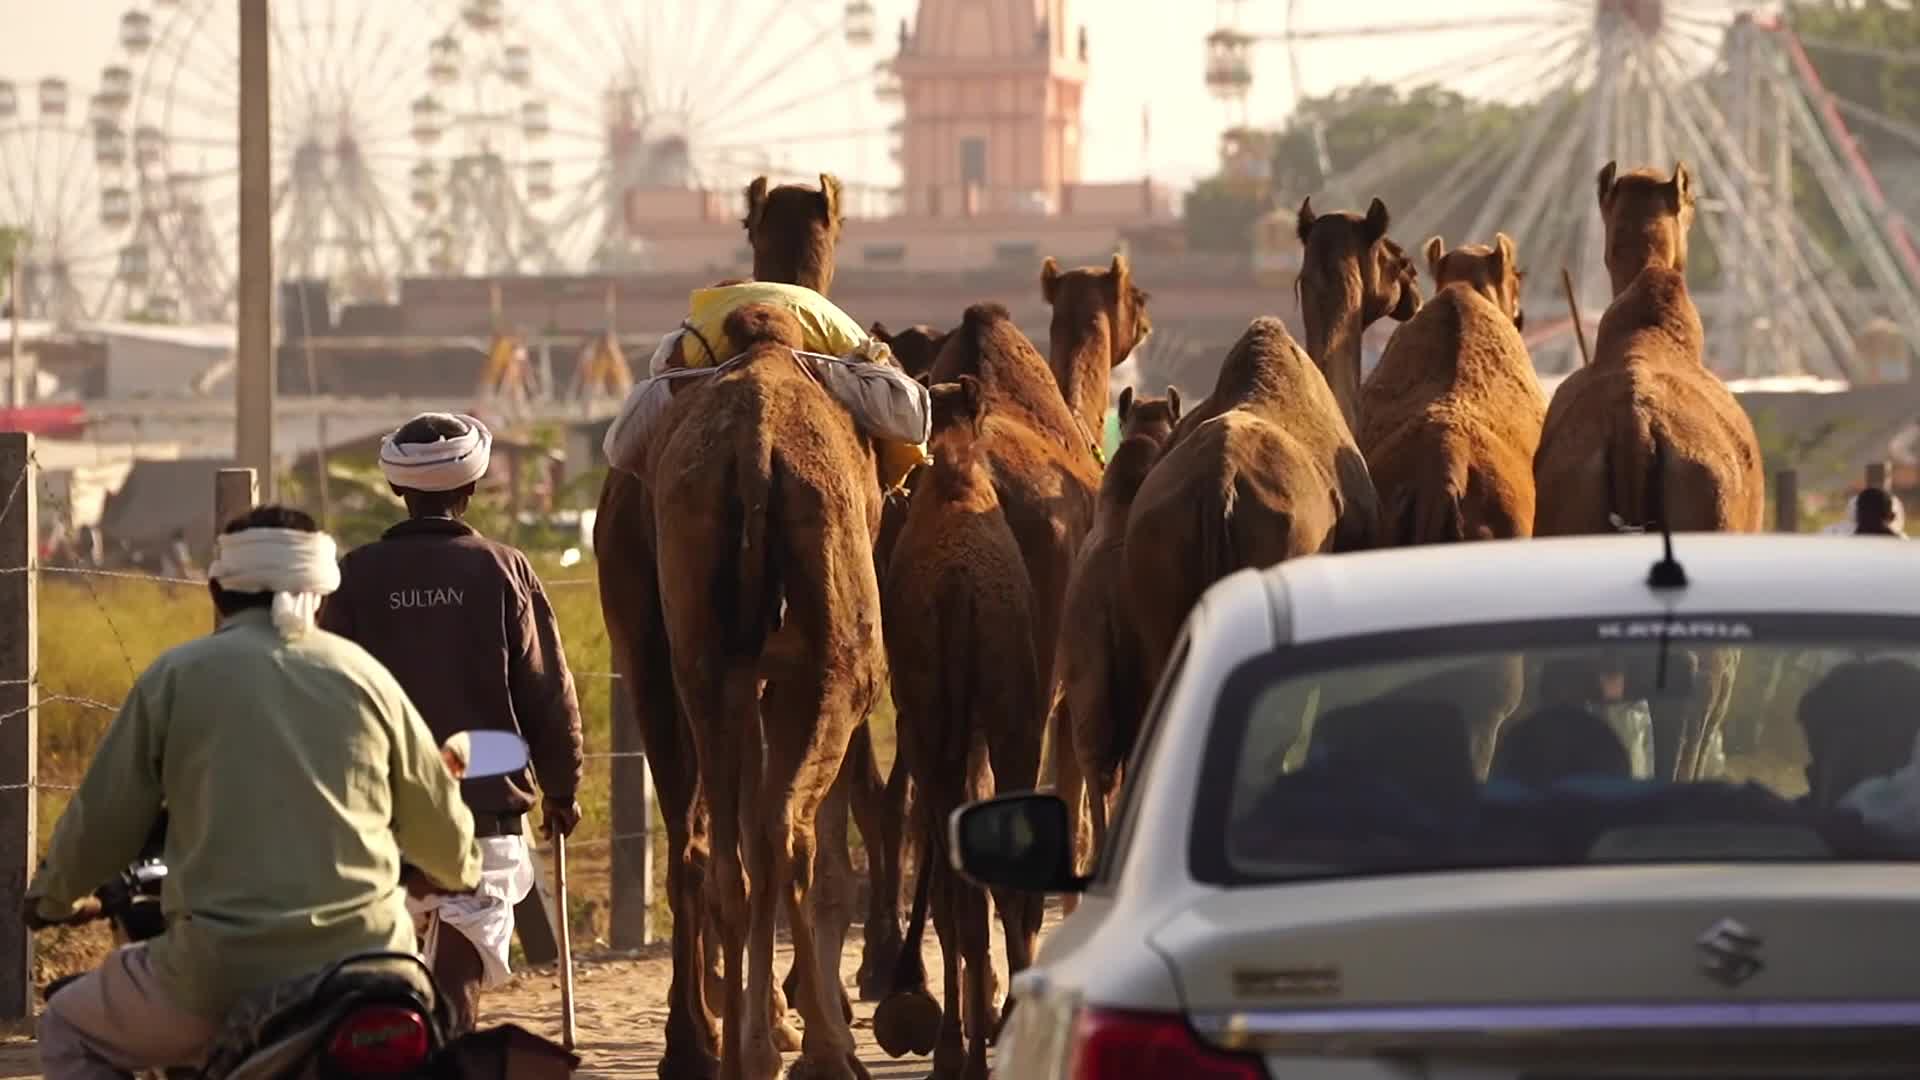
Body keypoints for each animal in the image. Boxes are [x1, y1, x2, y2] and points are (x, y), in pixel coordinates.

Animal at [650, 302, 888, 1080]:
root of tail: (754, 451)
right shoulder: (792, 676)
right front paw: (808, 1034)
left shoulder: (746, 674)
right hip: (838, 661)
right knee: (790, 833)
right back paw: (828, 1052)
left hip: (698, 646)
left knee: (730, 860)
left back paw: (733, 1056)